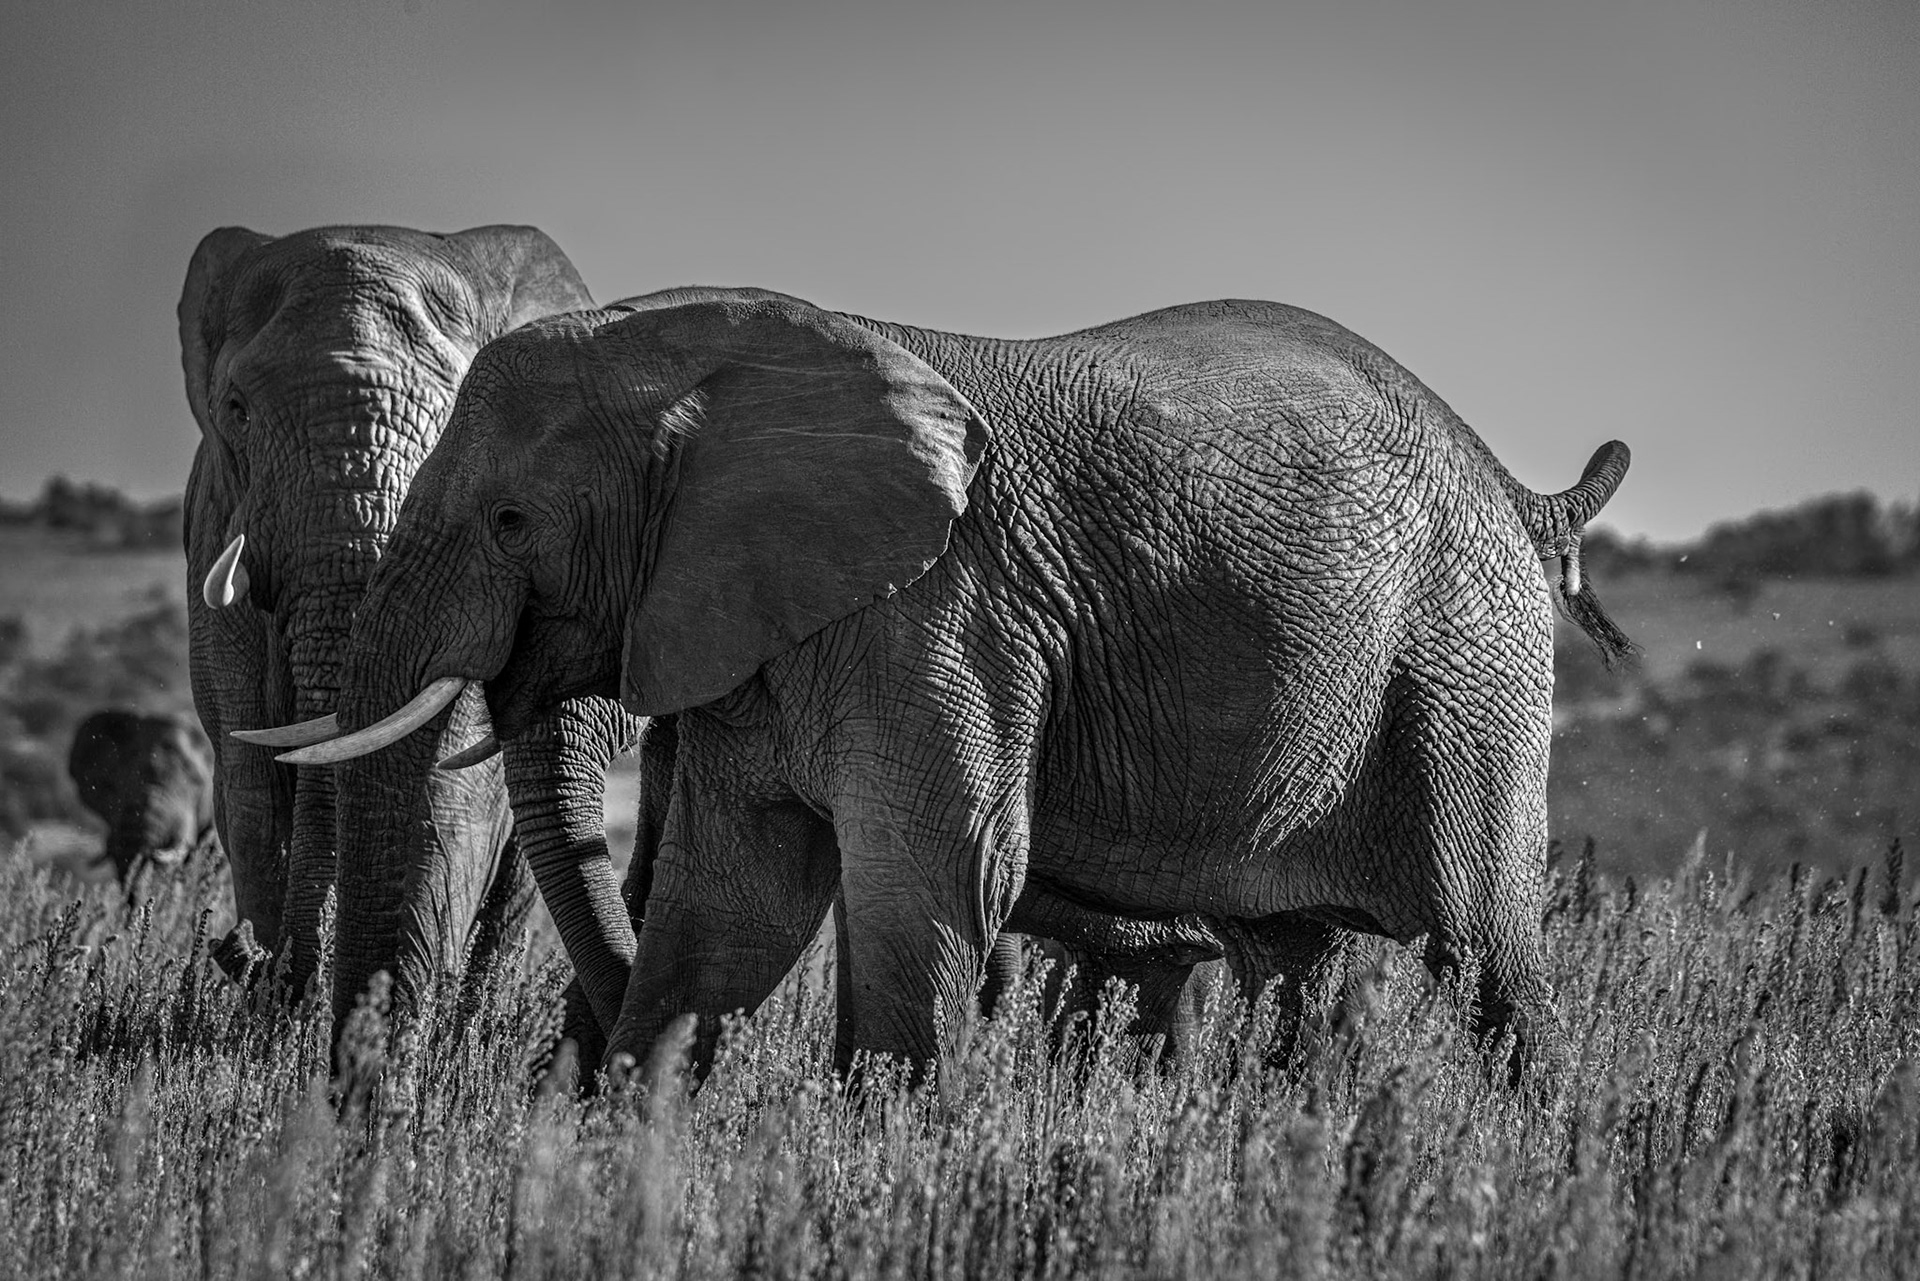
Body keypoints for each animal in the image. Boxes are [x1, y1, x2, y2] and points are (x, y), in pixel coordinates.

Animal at [176, 223, 644, 1017]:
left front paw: (386, 1009)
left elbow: (449, 800)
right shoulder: (216, 535)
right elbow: (252, 789)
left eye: (459, 414)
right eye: (236, 410)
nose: (236, 951)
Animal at [280, 287, 1633, 1082]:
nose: (367, 1099)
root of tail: (1517, 487)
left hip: (1466, 676)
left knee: (1487, 962)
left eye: (512, 521)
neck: (725, 361)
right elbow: (730, 902)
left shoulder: (946, 612)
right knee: (1291, 974)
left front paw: (884, 1153)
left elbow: (932, 875)